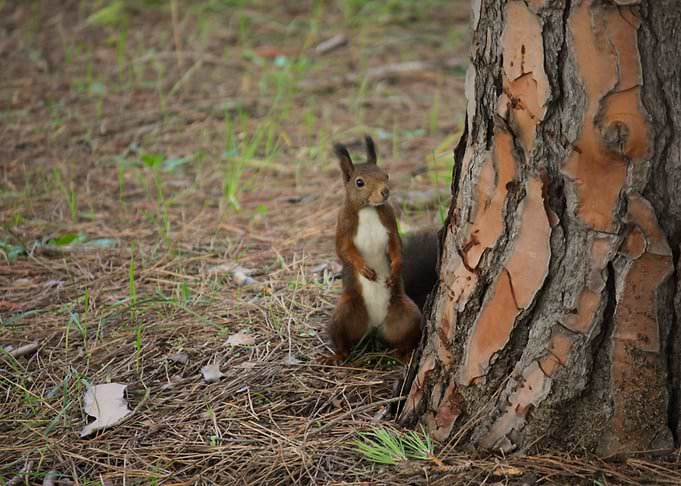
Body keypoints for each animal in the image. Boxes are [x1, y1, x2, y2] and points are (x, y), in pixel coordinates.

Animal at [325, 136, 439, 364]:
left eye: (386, 175)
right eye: (359, 182)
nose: (385, 192)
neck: (369, 210)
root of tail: (375, 327)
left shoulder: (390, 224)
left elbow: (396, 246)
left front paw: (396, 269)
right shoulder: (343, 227)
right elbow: (343, 251)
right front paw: (363, 268)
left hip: (408, 315)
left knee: (405, 338)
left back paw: (404, 354)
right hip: (344, 314)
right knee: (340, 337)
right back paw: (338, 355)